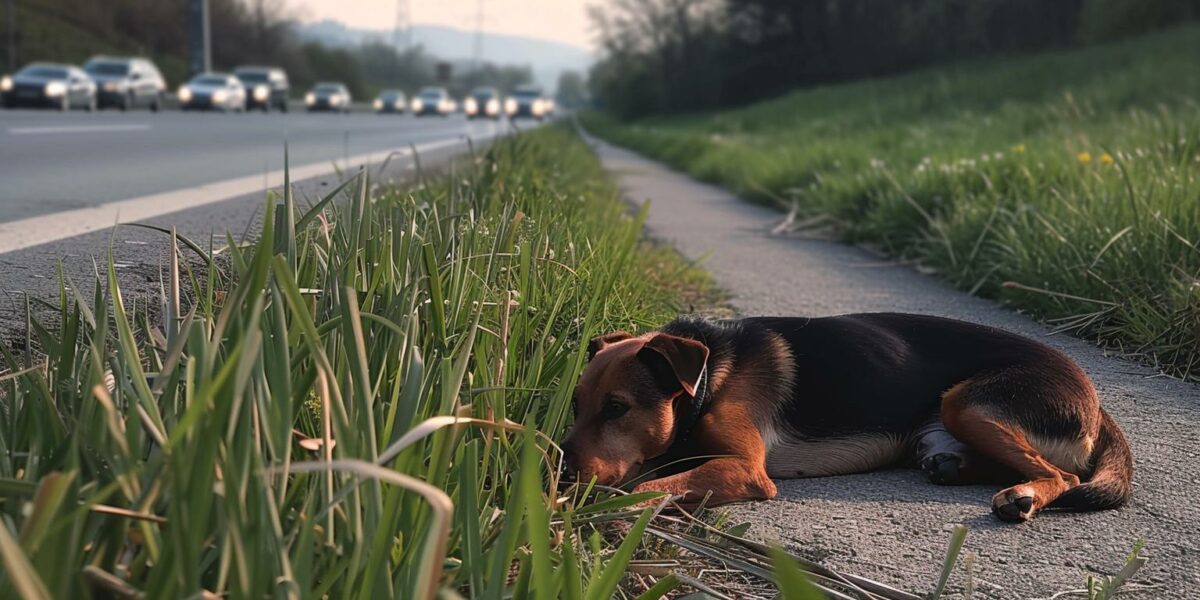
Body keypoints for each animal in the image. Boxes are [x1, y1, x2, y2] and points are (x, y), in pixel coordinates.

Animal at [561, 314, 1132, 520]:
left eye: (617, 409)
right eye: (576, 406)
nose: (560, 472)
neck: (709, 376)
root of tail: (1095, 400)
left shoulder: (745, 469)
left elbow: (646, 487)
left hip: (968, 402)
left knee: (1063, 475)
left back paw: (1023, 495)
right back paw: (957, 467)